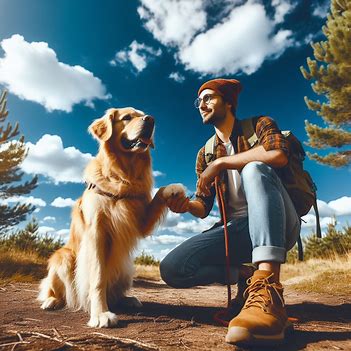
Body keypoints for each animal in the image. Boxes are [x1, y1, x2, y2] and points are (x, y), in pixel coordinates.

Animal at [38, 108, 186, 328]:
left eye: (143, 114)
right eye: (127, 117)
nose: (151, 120)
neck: (123, 176)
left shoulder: (140, 222)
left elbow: (160, 193)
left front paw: (173, 189)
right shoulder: (97, 232)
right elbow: (98, 279)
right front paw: (100, 314)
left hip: (126, 268)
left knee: (116, 293)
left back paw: (127, 299)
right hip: (63, 258)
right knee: (54, 288)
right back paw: (52, 300)